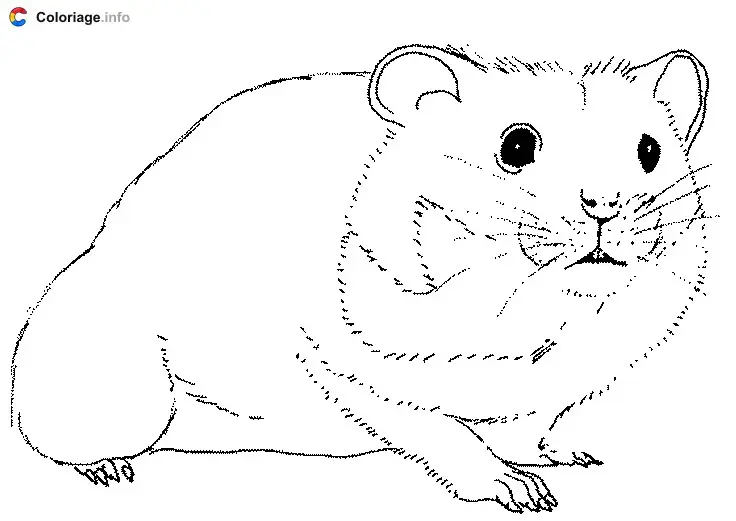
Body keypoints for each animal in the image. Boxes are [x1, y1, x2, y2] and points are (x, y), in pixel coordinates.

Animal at [11, 44, 712, 512]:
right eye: (516, 145)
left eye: (651, 150)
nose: (605, 206)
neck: (546, 307)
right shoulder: (352, 359)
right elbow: (440, 427)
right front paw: (516, 489)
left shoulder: (573, 373)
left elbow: (534, 422)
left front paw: (564, 456)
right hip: (111, 377)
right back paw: (109, 469)